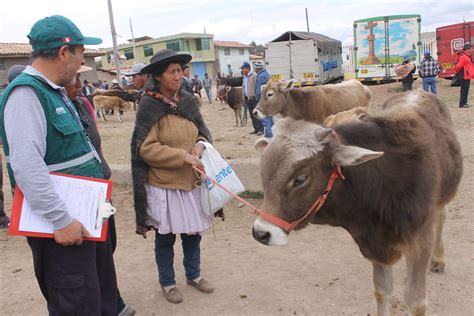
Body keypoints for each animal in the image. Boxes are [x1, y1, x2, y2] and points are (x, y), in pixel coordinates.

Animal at [252, 90, 462, 314]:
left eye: (300, 179)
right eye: (263, 171)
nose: (261, 233)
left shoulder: (421, 242)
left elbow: (416, 301)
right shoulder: (376, 248)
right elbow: (382, 291)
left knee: (442, 216)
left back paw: (438, 259)